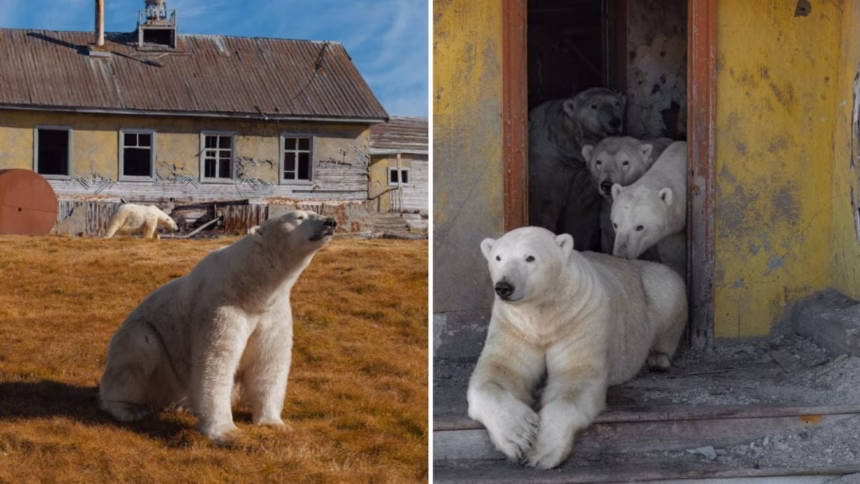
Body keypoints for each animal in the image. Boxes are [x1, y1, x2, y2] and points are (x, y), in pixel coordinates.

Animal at [98, 210, 337, 442]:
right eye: (299, 217)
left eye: (315, 211)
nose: (330, 222)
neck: (250, 287)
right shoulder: (220, 305)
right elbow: (217, 360)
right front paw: (227, 432)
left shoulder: (273, 312)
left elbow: (269, 360)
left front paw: (274, 424)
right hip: (157, 362)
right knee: (138, 348)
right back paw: (130, 408)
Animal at [467, 226, 687, 469]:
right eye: (498, 257)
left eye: (530, 258)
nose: (504, 287)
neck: (544, 312)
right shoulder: (514, 326)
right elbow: (499, 370)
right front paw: (519, 436)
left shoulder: (579, 319)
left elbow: (575, 378)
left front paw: (542, 452)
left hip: (653, 286)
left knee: (668, 287)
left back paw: (657, 359)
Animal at [528, 87, 626, 252]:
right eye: (594, 106)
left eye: (617, 103)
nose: (615, 121)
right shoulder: (550, 163)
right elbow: (544, 202)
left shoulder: (582, 172)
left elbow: (581, 211)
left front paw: (579, 246)